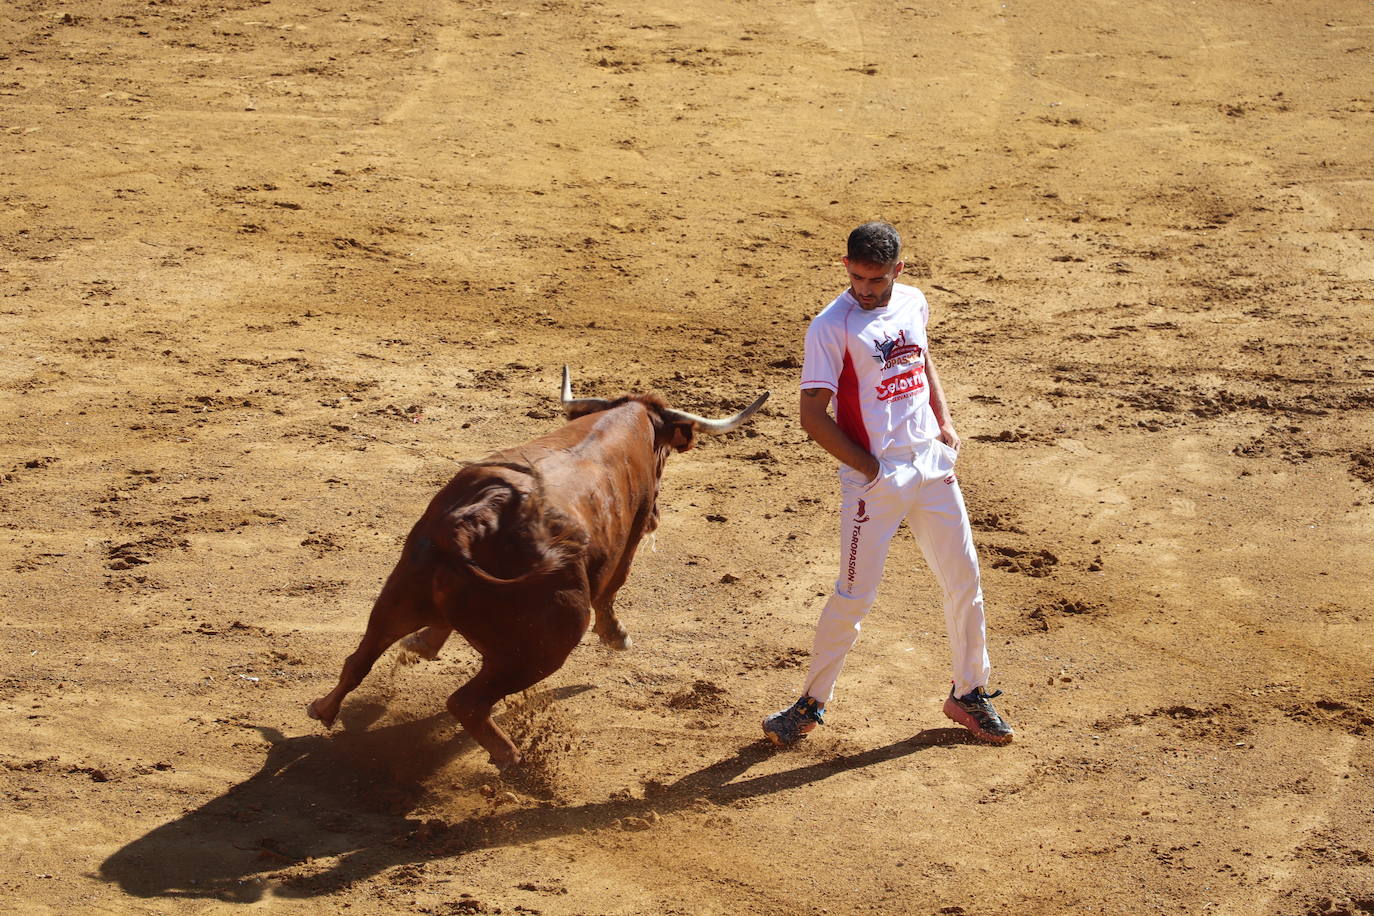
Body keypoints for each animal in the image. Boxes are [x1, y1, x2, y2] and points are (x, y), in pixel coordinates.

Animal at [305, 368, 769, 769]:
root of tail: (477, 520)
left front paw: (424, 643)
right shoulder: (634, 531)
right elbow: (614, 588)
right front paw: (617, 636)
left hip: (398, 595)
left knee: (360, 657)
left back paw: (324, 707)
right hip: (543, 648)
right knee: (466, 702)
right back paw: (512, 759)